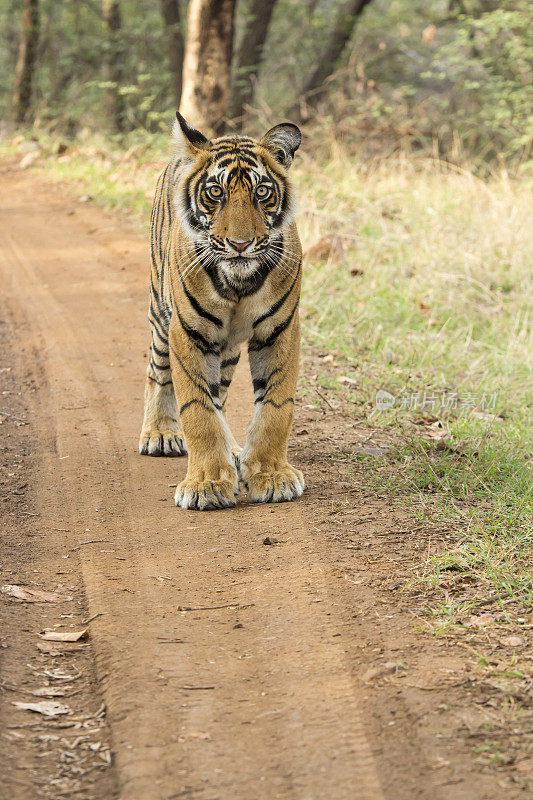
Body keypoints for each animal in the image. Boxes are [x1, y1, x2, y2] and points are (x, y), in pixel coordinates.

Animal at [138, 111, 304, 512]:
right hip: (161, 318)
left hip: (225, 347)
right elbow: (198, 410)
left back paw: (232, 450)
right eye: (216, 192)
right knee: (157, 372)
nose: (240, 244)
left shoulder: (280, 331)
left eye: (261, 192)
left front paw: (272, 475)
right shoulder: (188, 332)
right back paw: (159, 433)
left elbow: (276, 407)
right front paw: (206, 484)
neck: (238, 281)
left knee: (221, 395)